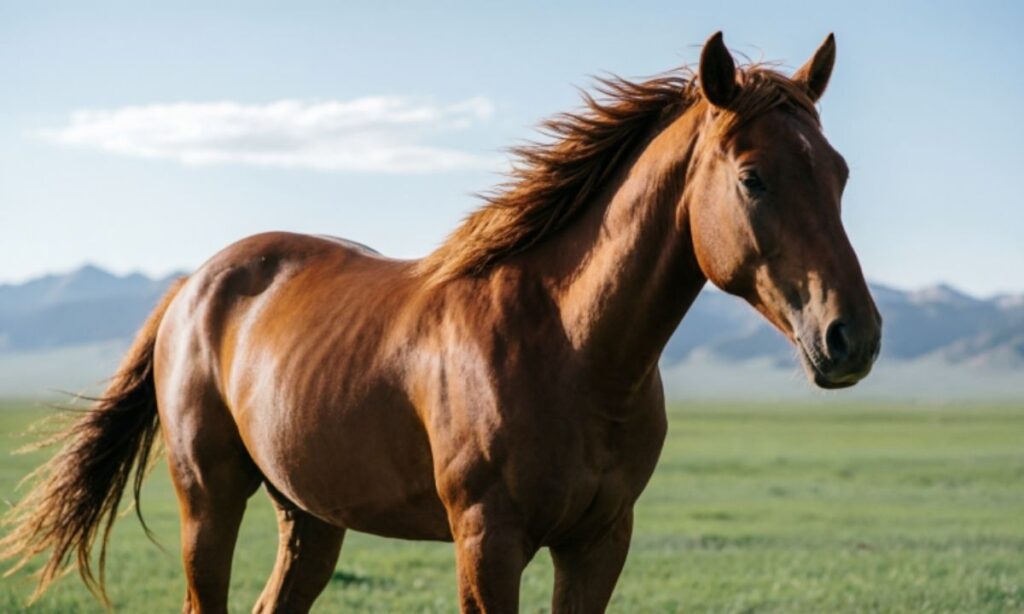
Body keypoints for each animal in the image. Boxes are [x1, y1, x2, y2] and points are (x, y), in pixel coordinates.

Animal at [2, 32, 881, 613]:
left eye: (840, 173)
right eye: (754, 177)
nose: (854, 338)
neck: (568, 350)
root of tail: (192, 286)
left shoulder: (599, 541)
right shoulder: (487, 543)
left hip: (308, 517)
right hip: (209, 501)